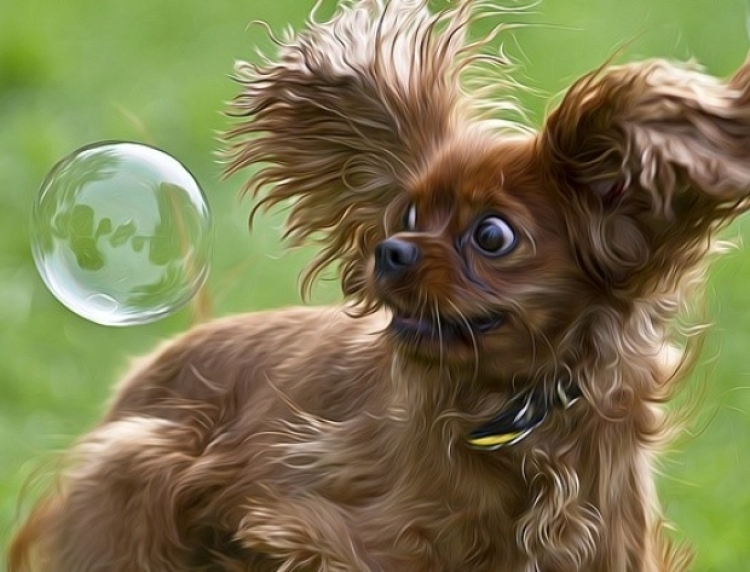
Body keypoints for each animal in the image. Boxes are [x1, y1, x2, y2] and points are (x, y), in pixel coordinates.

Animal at [9, 0, 750, 570]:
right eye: (408, 217)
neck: (511, 413)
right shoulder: (331, 529)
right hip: (132, 478)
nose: (390, 250)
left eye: (492, 236)